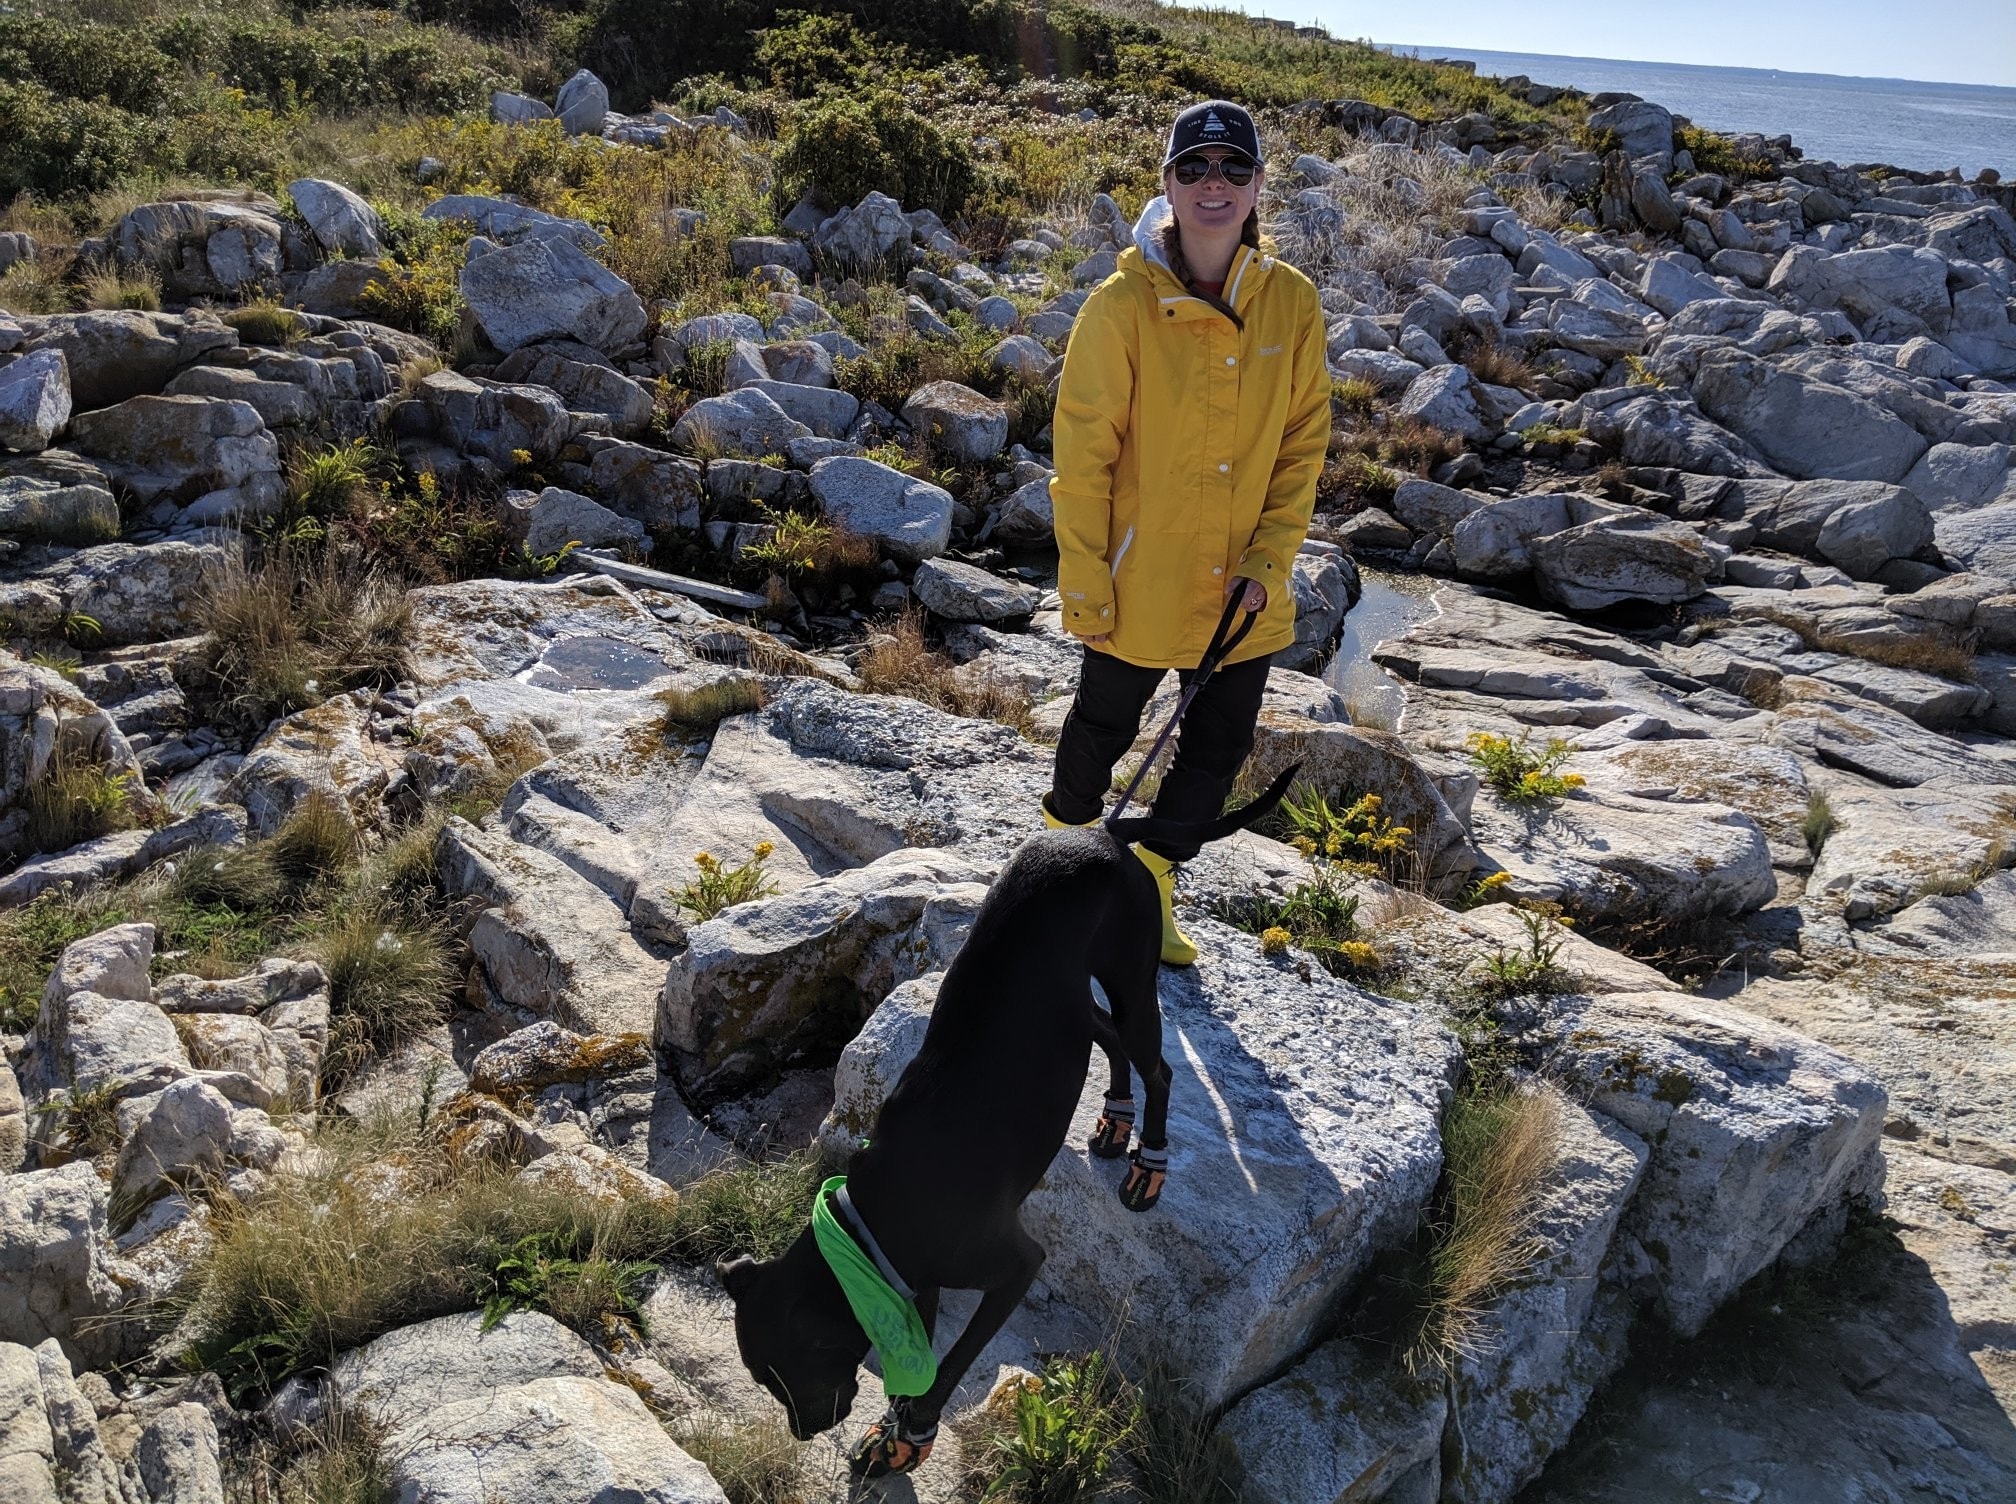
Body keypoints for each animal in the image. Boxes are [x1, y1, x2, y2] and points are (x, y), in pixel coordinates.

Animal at [709, 774, 1290, 1475]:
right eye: (764, 1379)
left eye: (787, 1375)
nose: (803, 1432)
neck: (874, 1222)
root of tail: (1101, 832)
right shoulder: (915, 1277)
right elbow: (928, 1346)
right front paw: (897, 1433)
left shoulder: (1014, 1267)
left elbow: (951, 1362)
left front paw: (916, 1428)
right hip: (1072, 1008)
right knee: (1111, 1046)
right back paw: (1114, 1121)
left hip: (1131, 979)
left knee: (1160, 1069)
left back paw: (1148, 1161)